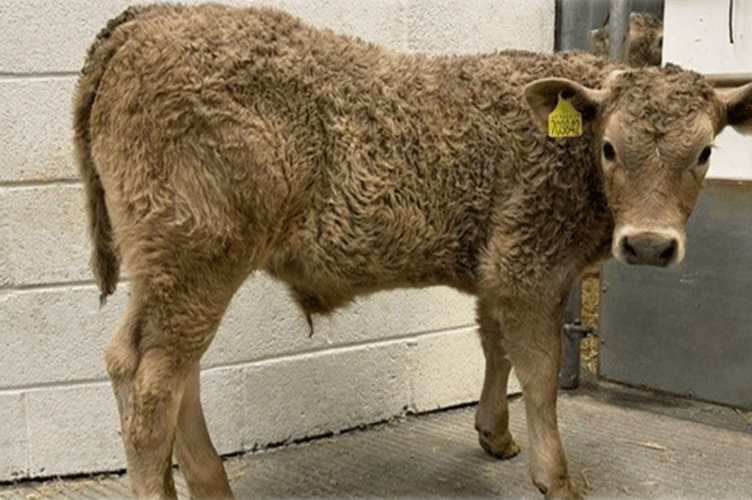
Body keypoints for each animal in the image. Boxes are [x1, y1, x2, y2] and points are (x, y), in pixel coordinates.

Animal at [73, 4, 752, 499]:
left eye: (705, 152)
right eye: (609, 147)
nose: (649, 243)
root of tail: (147, 18)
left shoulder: (495, 265)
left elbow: (494, 346)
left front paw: (495, 435)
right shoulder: (528, 267)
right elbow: (538, 374)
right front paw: (555, 479)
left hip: (179, 270)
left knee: (166, 369)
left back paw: (209, 485)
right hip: (196, 256)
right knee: (149, 380)